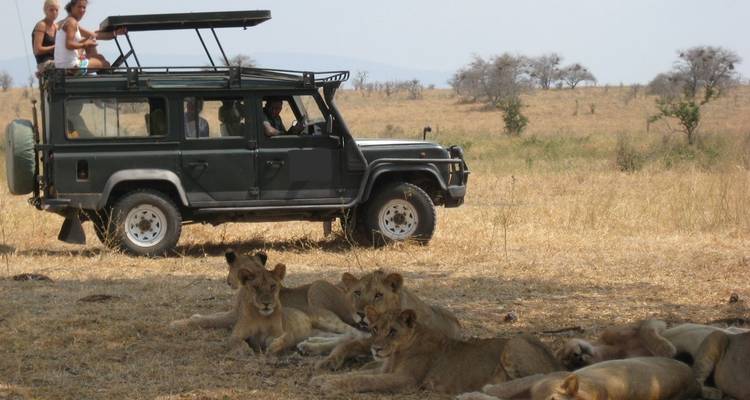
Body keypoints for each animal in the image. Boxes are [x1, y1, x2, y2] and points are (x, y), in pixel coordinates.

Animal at [307, 270, 463, 369]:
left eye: (378, 295)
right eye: (357, 293)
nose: (361, 313)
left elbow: (345, 345)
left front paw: (328, 361)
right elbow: (343, 344)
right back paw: (309, 344)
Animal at [310, 306, 561, 394]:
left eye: (392, 331)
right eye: (374, 329)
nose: (375, 349)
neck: (397, 352)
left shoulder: (407, 379)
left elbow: (363, 380)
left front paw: (330, 385)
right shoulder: (384, 370)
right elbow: (357, 373)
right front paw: (323, 379)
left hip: (514, 342)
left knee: (538, 379)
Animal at [559, 319, 747, 370]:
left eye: (569, 353)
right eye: (571, 364)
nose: (578, 358)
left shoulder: (654, 323)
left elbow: (646, 330)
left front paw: (666, 348)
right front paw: (669, 352)